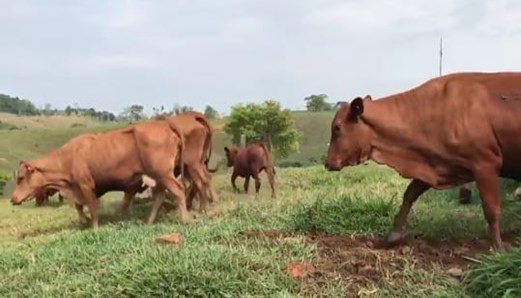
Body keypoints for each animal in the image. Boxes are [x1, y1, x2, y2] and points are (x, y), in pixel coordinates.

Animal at [10, 118, 188, 228]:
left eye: (21, 178)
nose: (13, 199)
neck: (68, 158)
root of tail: (165, 125)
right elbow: (79, 205)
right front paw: (84, 220)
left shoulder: (86, 185)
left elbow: (92, 208)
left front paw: (94, 227)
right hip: (158, 178)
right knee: (159, 197)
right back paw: (149, 222)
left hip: (164, 175)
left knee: (179, 191)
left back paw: (186, 219)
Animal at [322, 71, 520, 250]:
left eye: (337, 127)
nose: (327, 163)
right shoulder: (436, 166)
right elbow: (410, 193)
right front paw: (393, 235)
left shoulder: (486, 164)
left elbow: (491, 209)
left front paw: (498, 248)